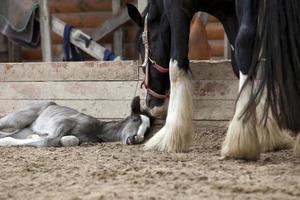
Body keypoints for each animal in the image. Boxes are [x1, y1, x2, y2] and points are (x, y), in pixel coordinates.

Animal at [0, 97, 151, 147]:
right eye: (136, 119)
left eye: (148, 129)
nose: (137, 138)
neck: (98, 130)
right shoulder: (62, 123)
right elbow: (50, 140)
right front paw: (5, 143)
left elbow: (71, 140)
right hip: (17, 119)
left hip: (23, 129)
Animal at [127, 0, 300, 159]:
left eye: (141, 46)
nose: (149, 103)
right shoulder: (228, 13)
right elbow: (241, 64)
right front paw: (266, 134)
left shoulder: (177, 7)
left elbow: (176, 66)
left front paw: (170, 136)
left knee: (245, 42)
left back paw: (239, 141)